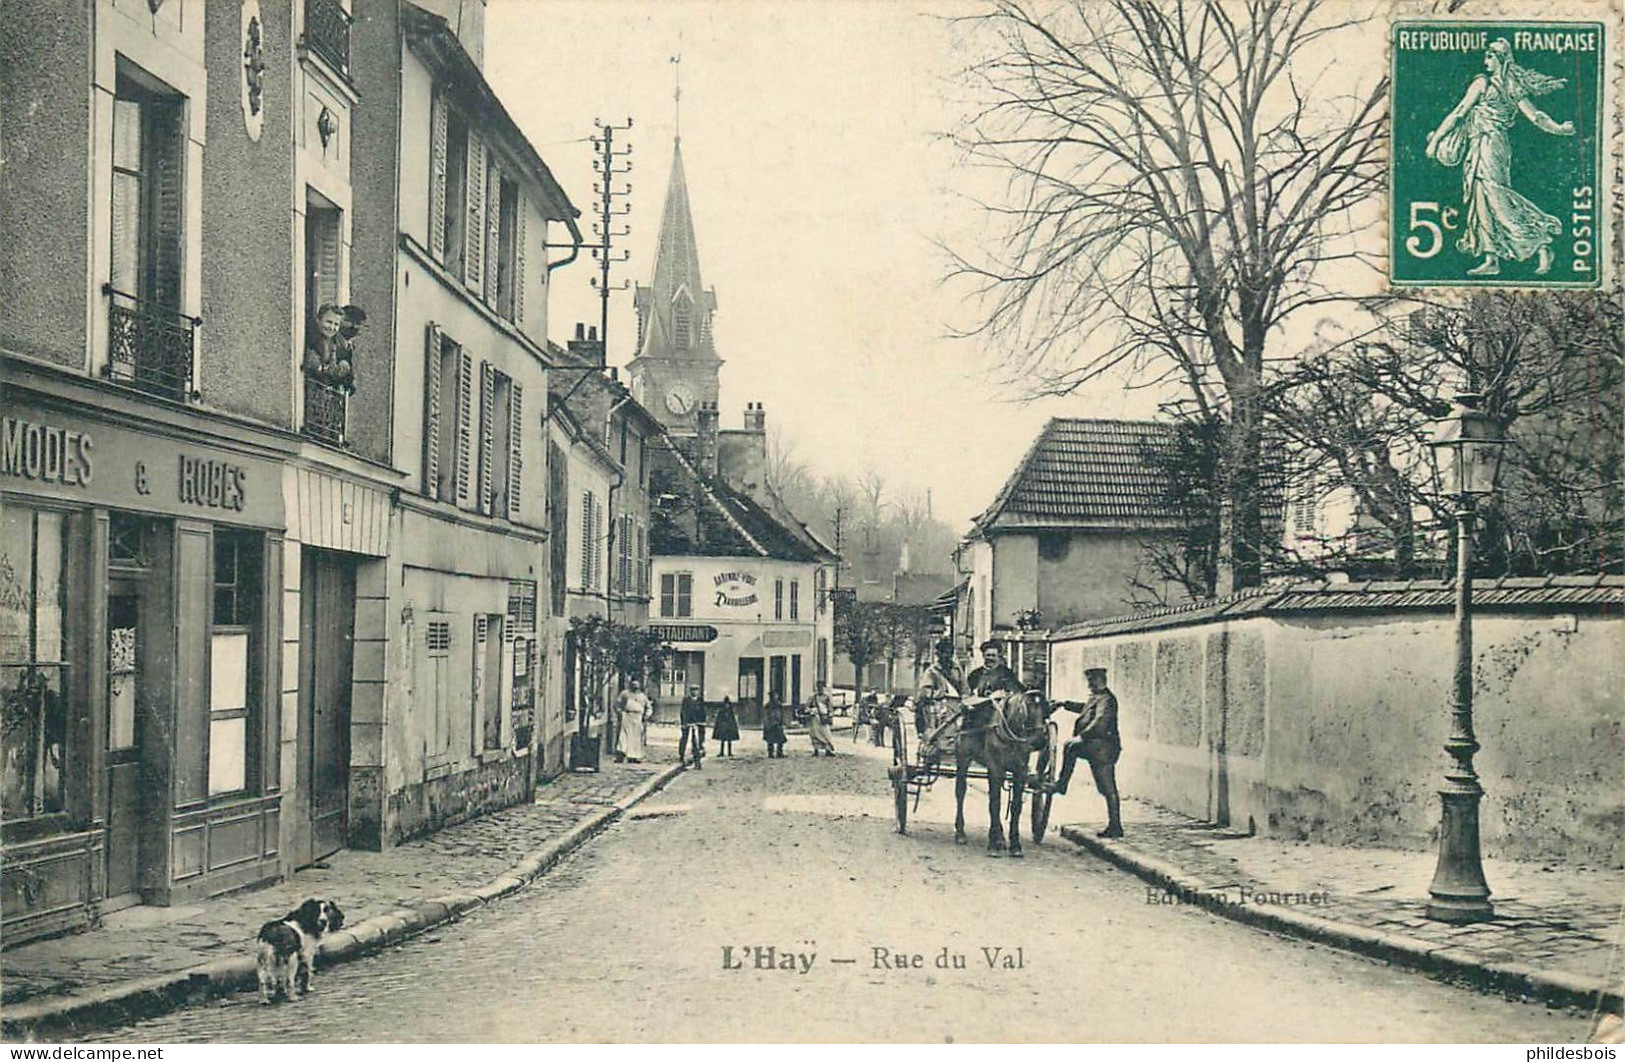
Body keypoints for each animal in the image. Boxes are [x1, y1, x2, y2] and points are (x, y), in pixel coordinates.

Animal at [923, 691, 1046, 857]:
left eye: (1045, 709)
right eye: (1026, 709)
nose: (1041, 741)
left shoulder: (1019, 771)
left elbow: (1015, 807)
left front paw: (1015, 845)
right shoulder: (995, 768)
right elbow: (995, 804)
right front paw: (993, 845)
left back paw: (1000, 838)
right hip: (963, 757)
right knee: (961, 792)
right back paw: (961, 833)